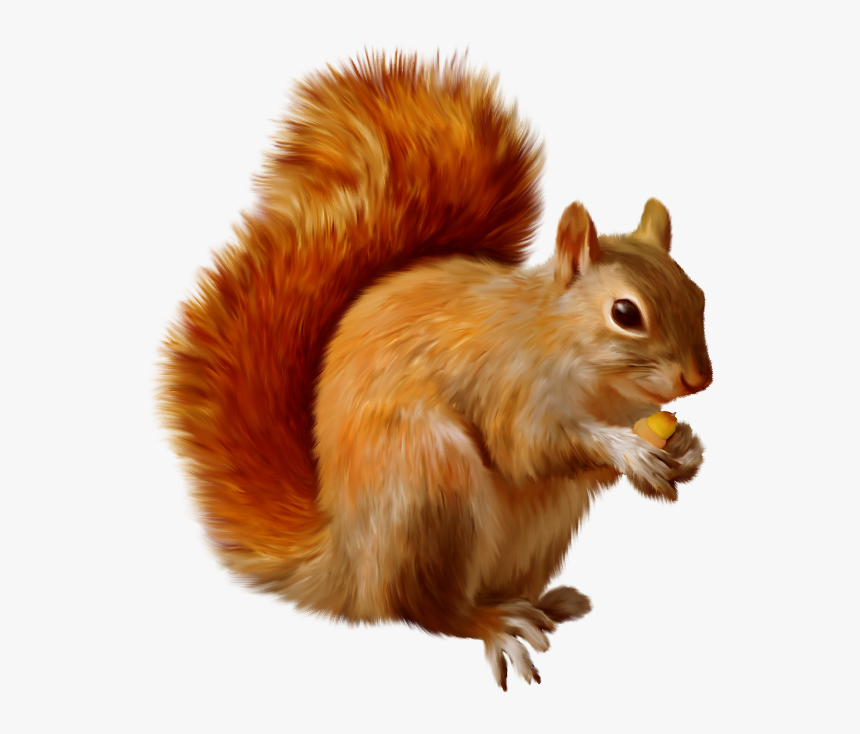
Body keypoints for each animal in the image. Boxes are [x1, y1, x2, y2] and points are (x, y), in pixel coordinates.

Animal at [158, 51, 712, 691]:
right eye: (625, 313)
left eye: (697, 294)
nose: (699, 380)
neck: (596, 380)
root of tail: (351, 567)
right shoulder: (507, 383)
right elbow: (529, 448)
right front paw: (629, 451)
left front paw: (685, 447)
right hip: (430, 487)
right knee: (430, 611)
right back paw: (495, 624)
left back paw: (548, 604)